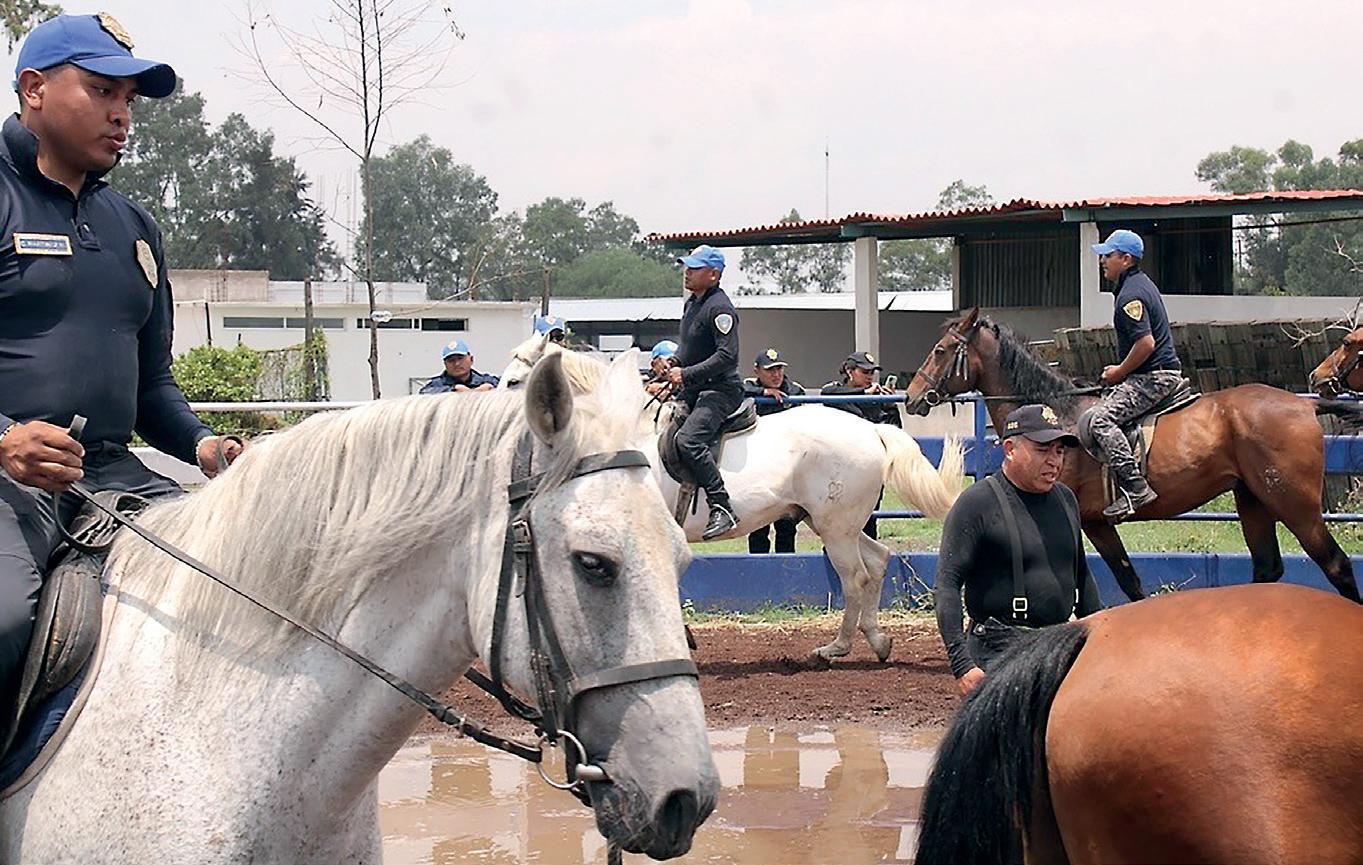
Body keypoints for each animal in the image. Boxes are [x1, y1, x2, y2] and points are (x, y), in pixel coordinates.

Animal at [501, 335, 966, 664]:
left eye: (514, 381)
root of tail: (870, 429)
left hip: (836, 529)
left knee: (855, 578)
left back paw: (835, 648)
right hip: (837, 524)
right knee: (879, 560)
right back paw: (878, 640)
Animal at [904, 307, 1363, 604]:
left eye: (941, 350)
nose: (911, 397)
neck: (1055, 414)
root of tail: (1303, 405)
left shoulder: (1079, 518)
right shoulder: (1094, 523)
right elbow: (1129, 581)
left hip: (1294, 504)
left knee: (1337, 565)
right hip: (1252, 500)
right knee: (1267, 570)